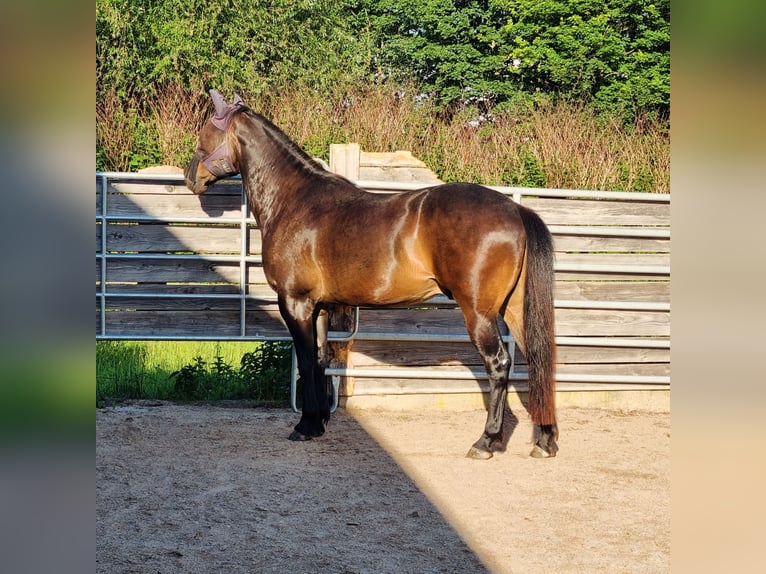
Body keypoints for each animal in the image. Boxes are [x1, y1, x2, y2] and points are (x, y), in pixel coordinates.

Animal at [186, 90, 560, 462]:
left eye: (204, 133)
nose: (192, 178)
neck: (293, 200)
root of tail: (516, 209)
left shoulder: (295, 303)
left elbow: (305, 361)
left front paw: (304, 427)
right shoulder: (319, 307)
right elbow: (320, 360)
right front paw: (317, 423)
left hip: (479, 313)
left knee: (499, 364)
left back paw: (486, 442)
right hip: (514, 309)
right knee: (538, 361)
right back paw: (544, 441)